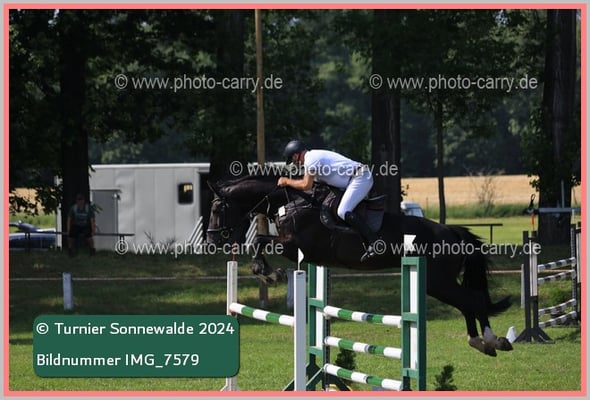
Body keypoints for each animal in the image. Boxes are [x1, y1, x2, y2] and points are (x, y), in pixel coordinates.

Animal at [206, 174, 513, 357]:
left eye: (217, 208)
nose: (212, 239)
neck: (290, 203)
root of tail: (451, 232)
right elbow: (258, 241)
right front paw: (268, 273)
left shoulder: (297, 247)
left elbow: (258, 240)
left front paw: (270, 274)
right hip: (436, 284)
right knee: (467, 302)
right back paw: (480, 342)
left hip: (438, 282)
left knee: (472, 299)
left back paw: (493, 340)